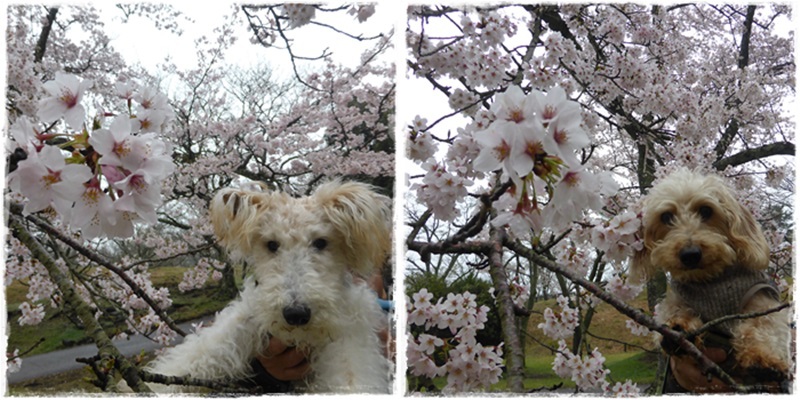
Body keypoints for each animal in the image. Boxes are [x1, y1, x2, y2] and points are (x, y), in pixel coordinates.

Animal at [147, 181, 394, 394]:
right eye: (272, 244)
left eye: (321, 242)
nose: (296, 314)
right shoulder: (249, 315)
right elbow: (204, 350)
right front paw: (161, 382)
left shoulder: (350, 338)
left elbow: (353, 378)